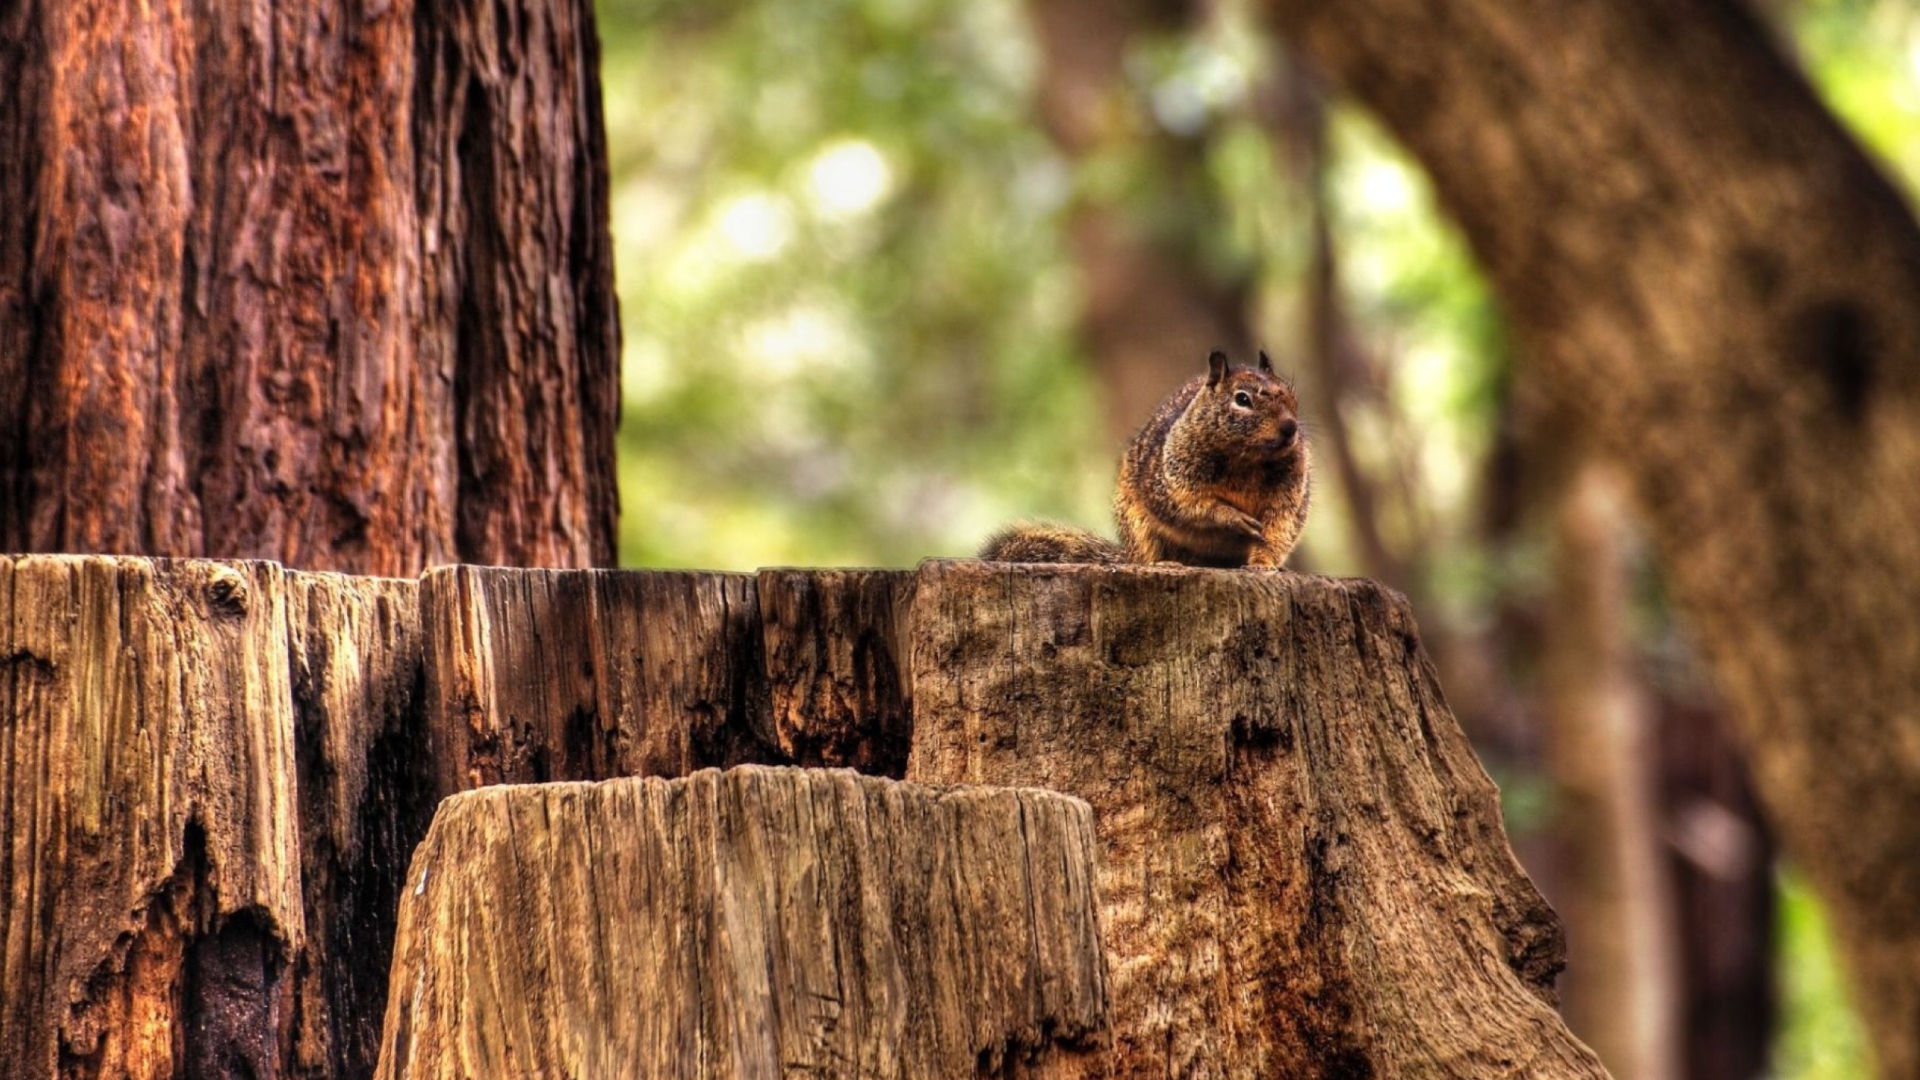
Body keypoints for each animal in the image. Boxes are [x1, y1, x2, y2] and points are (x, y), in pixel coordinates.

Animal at [983, 349, 1313, 568]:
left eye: (1292, 396)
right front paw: (1231, 517)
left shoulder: (1289, 493)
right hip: (1137, 525)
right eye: (1242, 399)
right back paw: (1165, 564)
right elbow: (1190, 506)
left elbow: (1277, 528)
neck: (1247, 460)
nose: (1290, 428)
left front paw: (1263, 565)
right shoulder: (1172, 477)